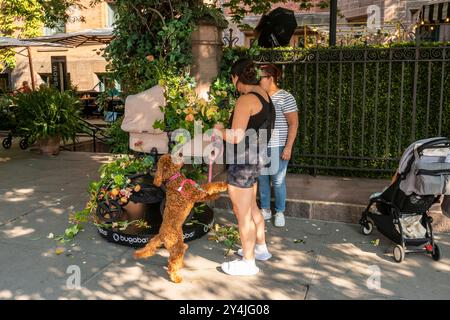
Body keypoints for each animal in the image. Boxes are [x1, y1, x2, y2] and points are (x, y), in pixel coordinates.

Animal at [132, 154, 227, 282]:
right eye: (173, 157)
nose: (182, 154)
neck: (173, 178)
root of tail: (161, 235)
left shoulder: (198, 195)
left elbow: (208, 193)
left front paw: (216, 195)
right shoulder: (196, 193)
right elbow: (209, 186)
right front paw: (224, 186)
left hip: (176, 245)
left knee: (173, 259)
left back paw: (180, 265)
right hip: (177, 246)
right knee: (172, 263)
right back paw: (175, 277)